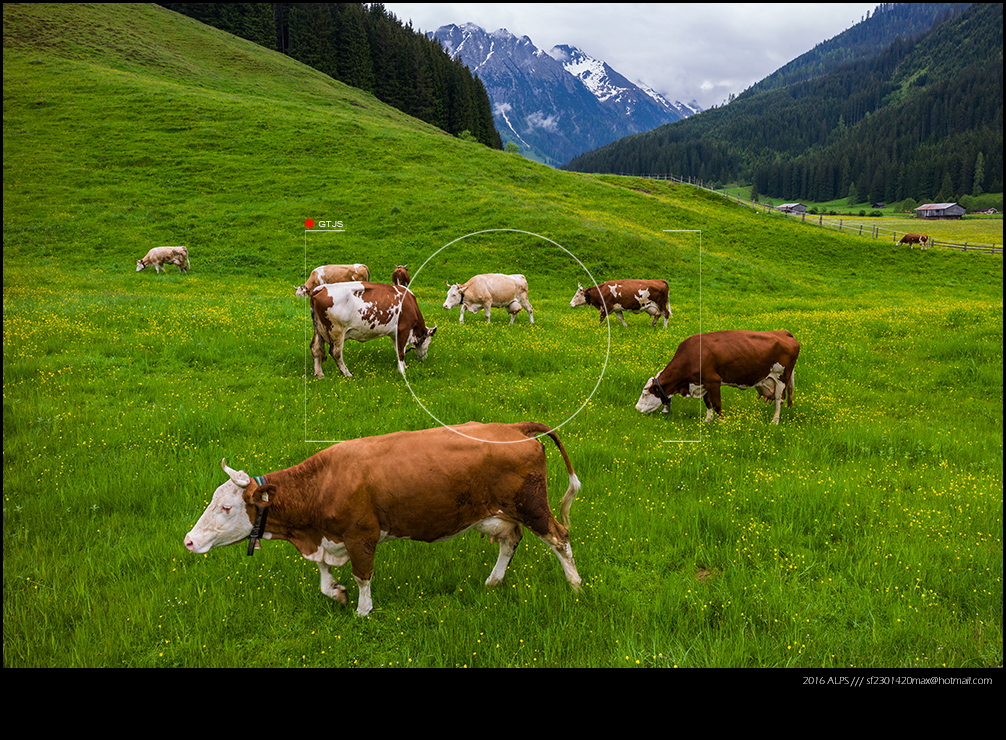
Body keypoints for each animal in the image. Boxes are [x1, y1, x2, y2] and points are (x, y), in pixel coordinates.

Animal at [185, 422, 587, 619]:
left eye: (226, 507)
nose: (189, 540)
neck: (323, 483)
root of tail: (514, 427)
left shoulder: (360, 535)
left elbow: (363, 576)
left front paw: (363, 610)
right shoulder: (327, 539)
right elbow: (324, 577)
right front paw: (337, 593)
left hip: (533, 506)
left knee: (560, 538)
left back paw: (576, 585)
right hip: (498, 513)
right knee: (510, 539)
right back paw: (494, 580)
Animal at [635, 327, 800, 422]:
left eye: (645, 394)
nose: (636, 409)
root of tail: (783, 333)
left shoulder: (713, 380)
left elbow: (717, 404)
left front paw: (722, 423)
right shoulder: (703, 383)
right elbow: (708, 403)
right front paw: (708, 421)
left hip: (781, 379)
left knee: (779, 400)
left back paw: (775, 421)